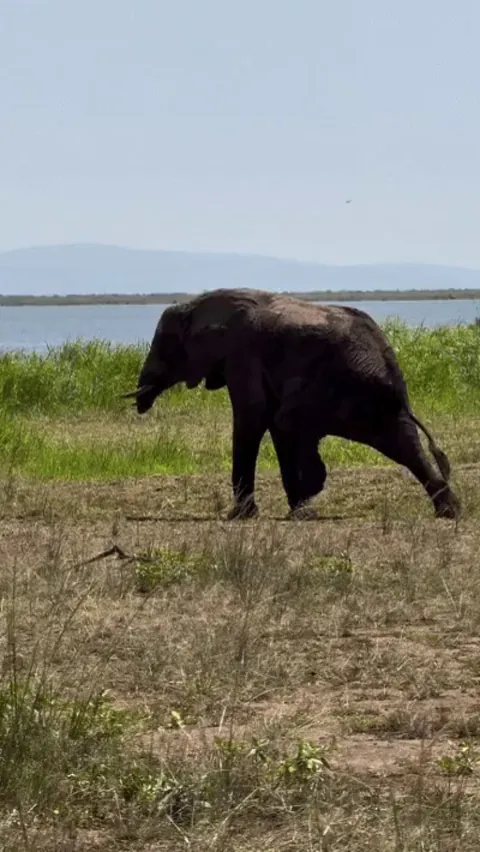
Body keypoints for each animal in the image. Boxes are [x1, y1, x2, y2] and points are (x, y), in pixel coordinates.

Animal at [123, 288, 461, 522]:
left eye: (163, 345)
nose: (140, 401)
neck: (200, 304)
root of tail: (395, 378)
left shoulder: (242, 354)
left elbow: (252, 416)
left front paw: (240, 517)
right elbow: (264, 420)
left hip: (341, 388)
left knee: (288, 421)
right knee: (404, 444)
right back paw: (451, 511)